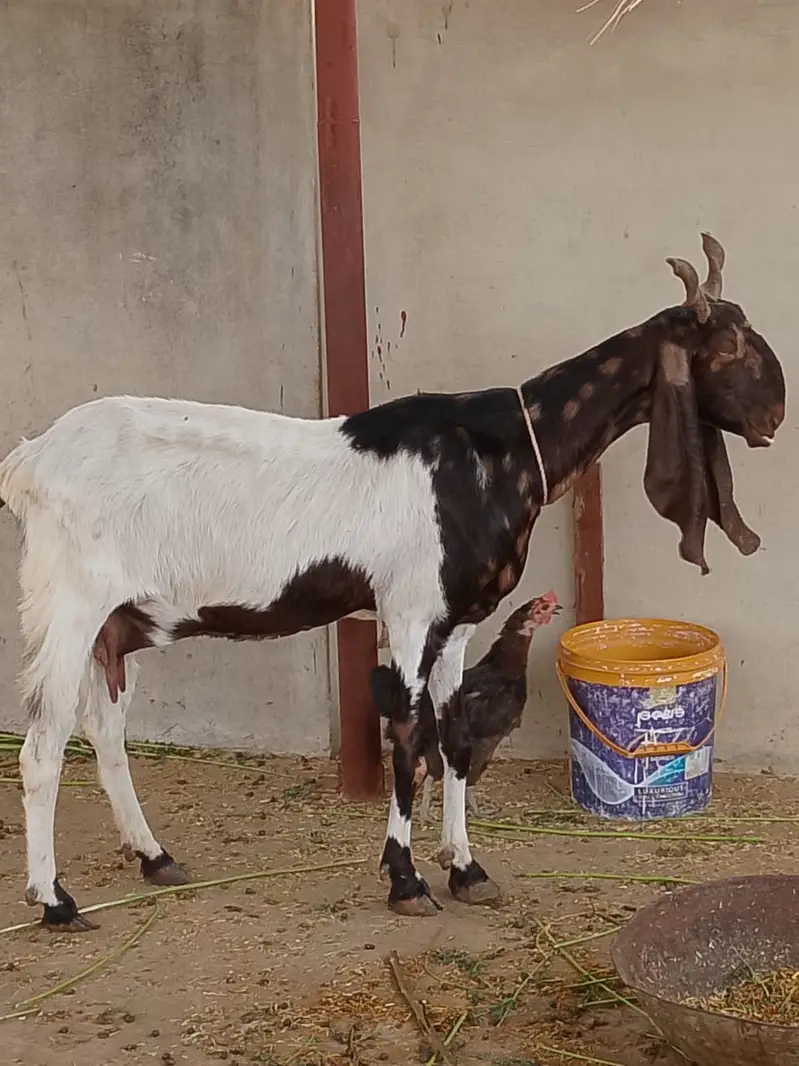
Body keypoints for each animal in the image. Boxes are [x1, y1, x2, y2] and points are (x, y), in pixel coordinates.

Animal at [0, 233, 785, 931]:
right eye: (725, 347)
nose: (773, 414)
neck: (498, 450)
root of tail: (30, 459)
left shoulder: (459, 620)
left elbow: (456, 736)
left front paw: (466, 869)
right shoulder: (407, 610)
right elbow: (408, 735)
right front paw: (406, 880)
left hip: (115, 623)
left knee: (105, 732)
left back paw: (155, 857)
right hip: (68, 604)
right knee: (43, 747)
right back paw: (56, 902)